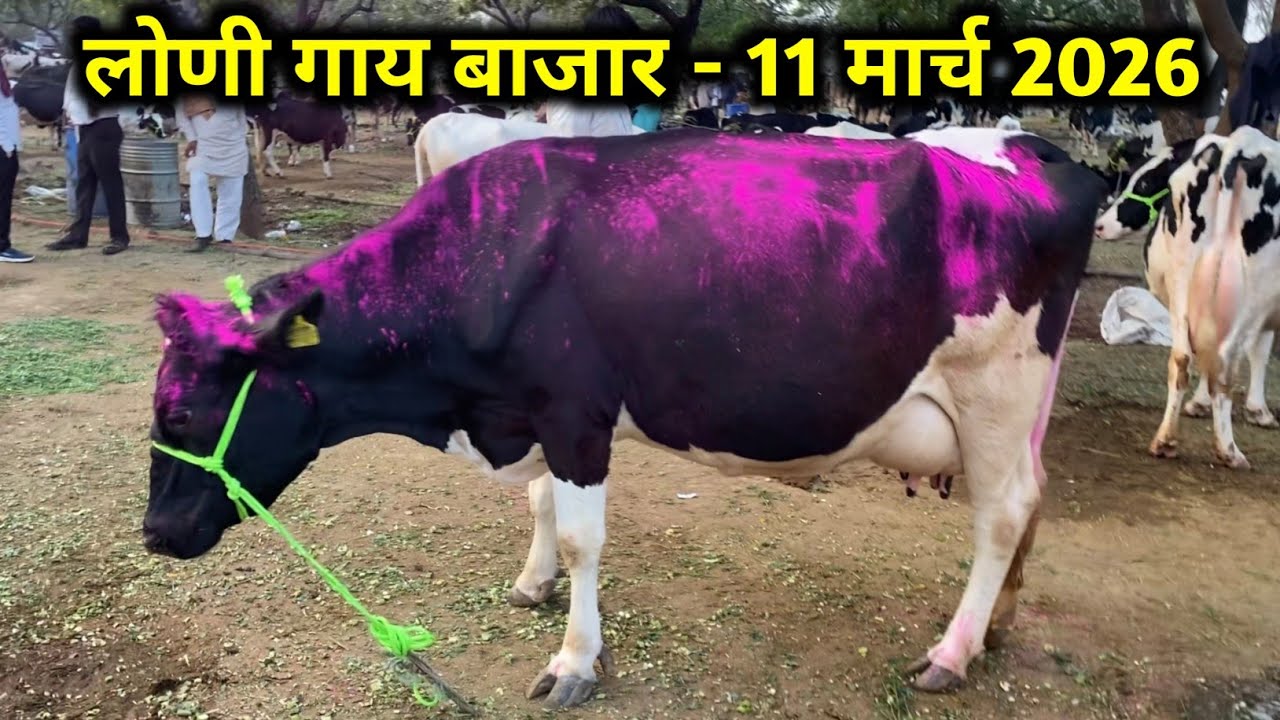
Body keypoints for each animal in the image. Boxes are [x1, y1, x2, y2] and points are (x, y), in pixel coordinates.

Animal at [142, 127, 1107, 709]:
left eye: (184, 411)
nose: (155, 535)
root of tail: (1040, 153)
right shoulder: (532, 410)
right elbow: (541, 508)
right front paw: (533, 585)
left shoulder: (574, 411)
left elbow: (582, 538)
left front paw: (574, 661)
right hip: (1017, 408)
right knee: (1035, 497)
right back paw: (999, 624)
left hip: (994, 390)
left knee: (1002, 514)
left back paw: (953, 650)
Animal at [1179, 126, 1280, 469]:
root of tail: (1244, 141)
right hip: (1256, 293)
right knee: (1223, 359)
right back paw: (1229, 451)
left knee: (1184, 354)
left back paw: (1165, 440)